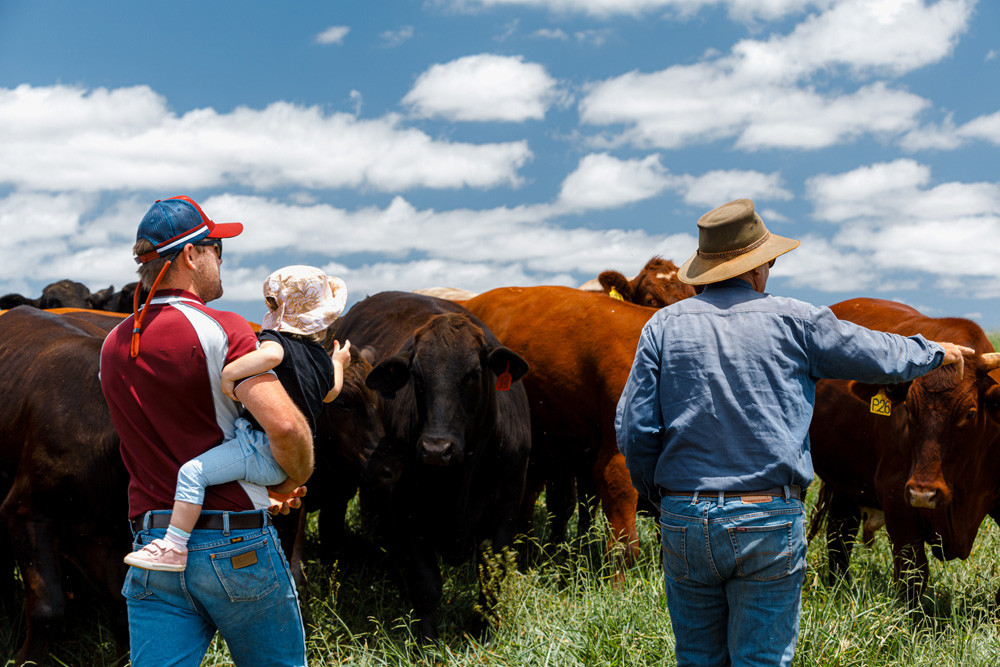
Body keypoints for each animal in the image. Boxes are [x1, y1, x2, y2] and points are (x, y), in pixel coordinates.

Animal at [330, 292, 532, 640]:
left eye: (474, 373)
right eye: (417, 376)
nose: (437, 449)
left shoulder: (507, 506)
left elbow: (491, 579)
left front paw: (483, 633)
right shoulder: (404, 508)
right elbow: (426, 585)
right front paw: (427, 640)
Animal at [808, 298, 1000, 600]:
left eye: (970, 413)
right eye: (909, 408)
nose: (924, 494)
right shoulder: (897, 497)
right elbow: (913, 575)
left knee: (840, 529)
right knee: (838, 534)